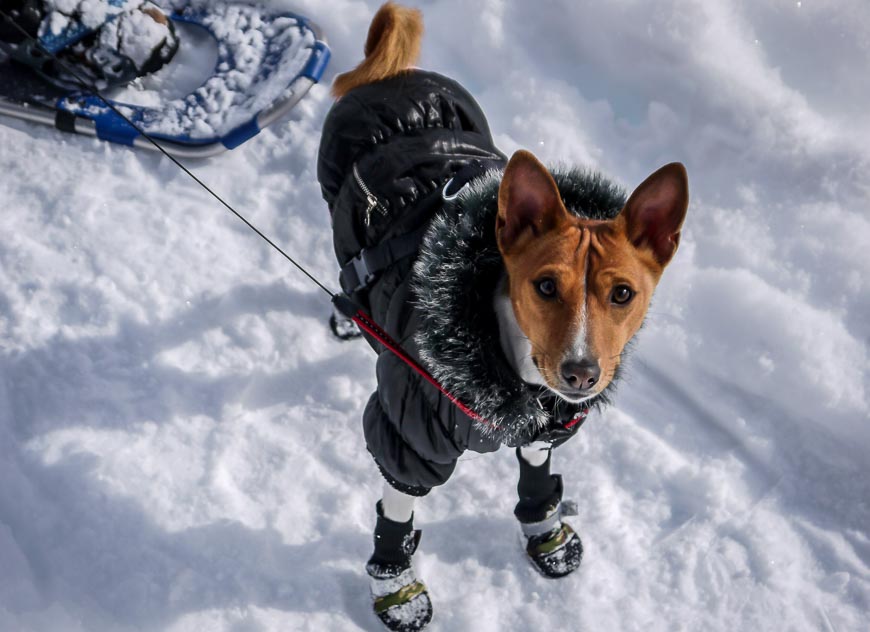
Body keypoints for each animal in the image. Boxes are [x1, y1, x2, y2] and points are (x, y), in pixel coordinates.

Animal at [316, 3, 692, 628]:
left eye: (622, 294)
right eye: (545, 286)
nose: (581, 374)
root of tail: (392, 76)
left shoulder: (547, 425)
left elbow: (537, 479)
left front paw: (546, 532)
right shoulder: (410, 438)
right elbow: (397, 511)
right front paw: (396, 586)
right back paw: (351, 314)